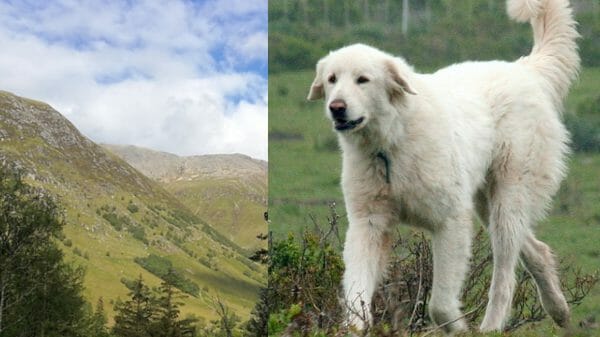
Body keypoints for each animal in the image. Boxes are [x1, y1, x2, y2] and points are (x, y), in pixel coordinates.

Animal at [308, 0, 580, 332]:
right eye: (332, 79)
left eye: (363, 80)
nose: (337, 108)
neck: (391, 143)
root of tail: (523, 68)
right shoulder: (368, 223)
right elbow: (356, 296)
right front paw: (355, 327)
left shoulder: (450, 221)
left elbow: (439, 304)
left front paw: (458, 328)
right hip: (485, 202)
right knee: (535, 250)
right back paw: (559, 309)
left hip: (508, 197)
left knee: (504, 274)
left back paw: (491, 327)